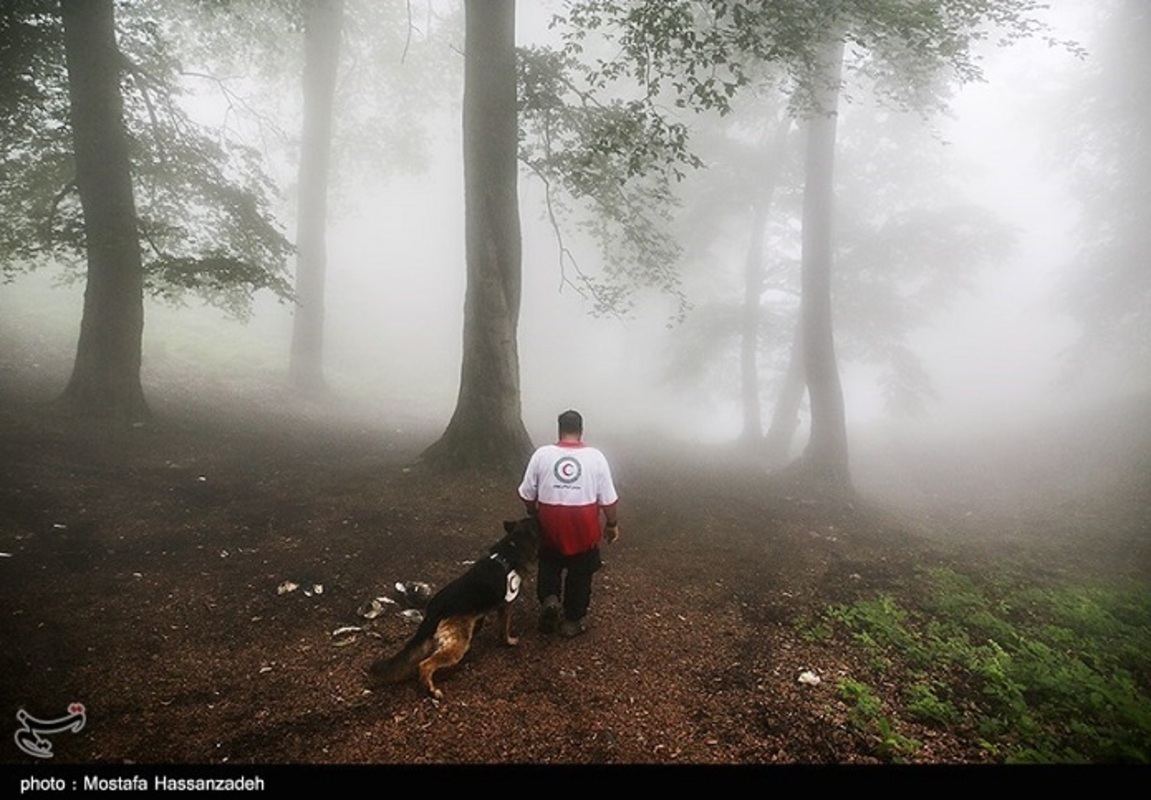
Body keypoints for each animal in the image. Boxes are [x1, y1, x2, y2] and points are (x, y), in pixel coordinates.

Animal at [368, 520, 538, 699]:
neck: (511, 548)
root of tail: (434, 608)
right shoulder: (507, 606)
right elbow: (504, 629)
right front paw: (509, 641)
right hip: (457, 645)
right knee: (425, 664)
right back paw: (432, 690)